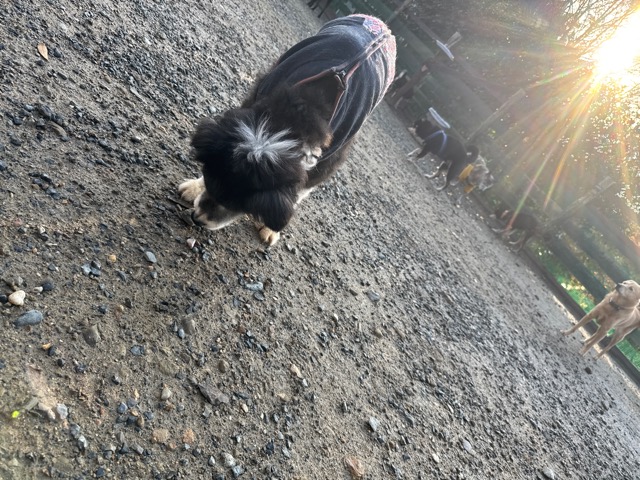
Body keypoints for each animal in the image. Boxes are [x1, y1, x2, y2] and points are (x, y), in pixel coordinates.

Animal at [178, 15, 395, 245]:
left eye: (239, 205)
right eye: (209, 178)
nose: (197, 219)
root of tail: (382, 26)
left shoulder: (330, 156)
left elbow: (301, 190)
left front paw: (269, 228)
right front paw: (195, 187)